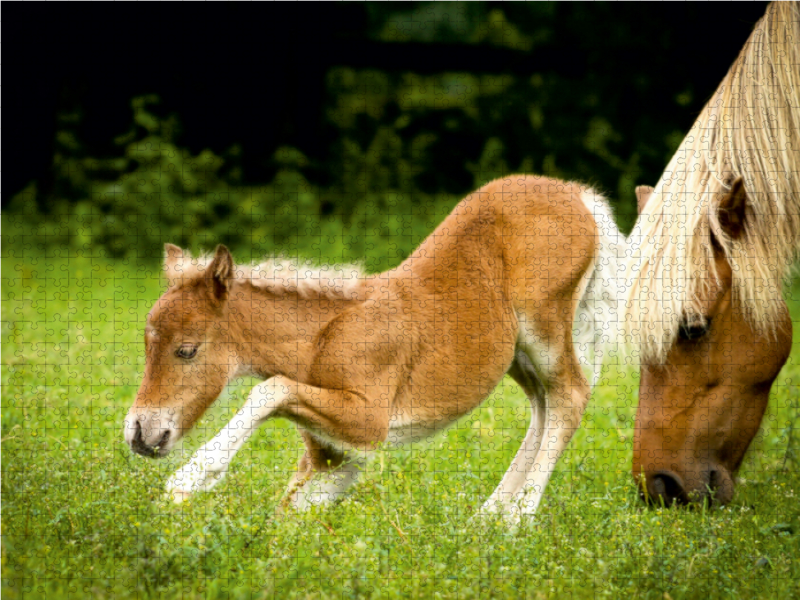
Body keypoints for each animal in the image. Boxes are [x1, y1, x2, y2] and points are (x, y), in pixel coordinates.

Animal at [123, 175, 620, 520]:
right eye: (146, 345)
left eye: (187, 350)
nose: (140, 434)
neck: (324, 335)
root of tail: (578, 194)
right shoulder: (335, 455)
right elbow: (292, 509)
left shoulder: (369, 420)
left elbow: (270, 389)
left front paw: (189, 479)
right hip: (517, 352)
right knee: (542, 405)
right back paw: (487, 518)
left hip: (544, 328)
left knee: (569, 395)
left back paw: (516, 520)